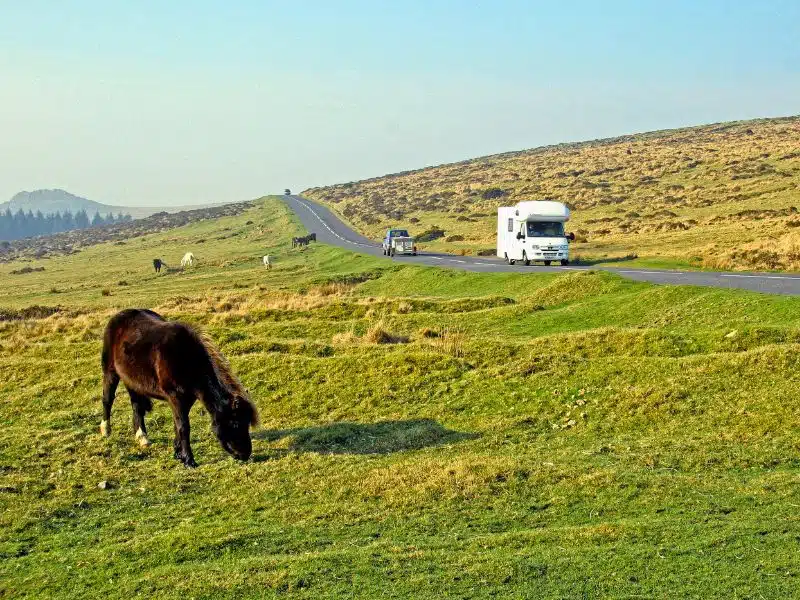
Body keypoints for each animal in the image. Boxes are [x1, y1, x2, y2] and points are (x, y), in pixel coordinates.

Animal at [100, 309, 259, 467]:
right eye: (236, 423)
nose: (245, 454)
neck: (185, 360)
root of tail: (118, 316)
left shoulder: (186, 400)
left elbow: (177, 425)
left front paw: (178, 454)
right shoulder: (176, 398)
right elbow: (184, 427)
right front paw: (189, 460)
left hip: (133, 382)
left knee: (136, 406)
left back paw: (142, 438)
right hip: (110, 372)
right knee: (108, 400)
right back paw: (106, 430)